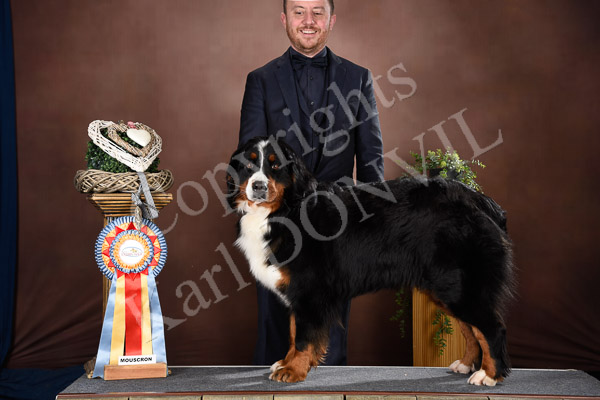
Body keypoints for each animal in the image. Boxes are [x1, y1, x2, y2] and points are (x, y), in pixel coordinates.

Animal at [226, 137, 515, 386]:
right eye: (249, 165)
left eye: (275, 165)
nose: (259, 186)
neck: (286, 209)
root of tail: (479, 200)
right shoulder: (299, 293)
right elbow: (295, 330)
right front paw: (286, 363)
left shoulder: (309, 291)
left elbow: (304, 337)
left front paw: (294, 370)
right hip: (446, 287)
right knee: (471, 329)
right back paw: (465, 365)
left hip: (458, 285)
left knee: (492, 328)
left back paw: (489, 375)